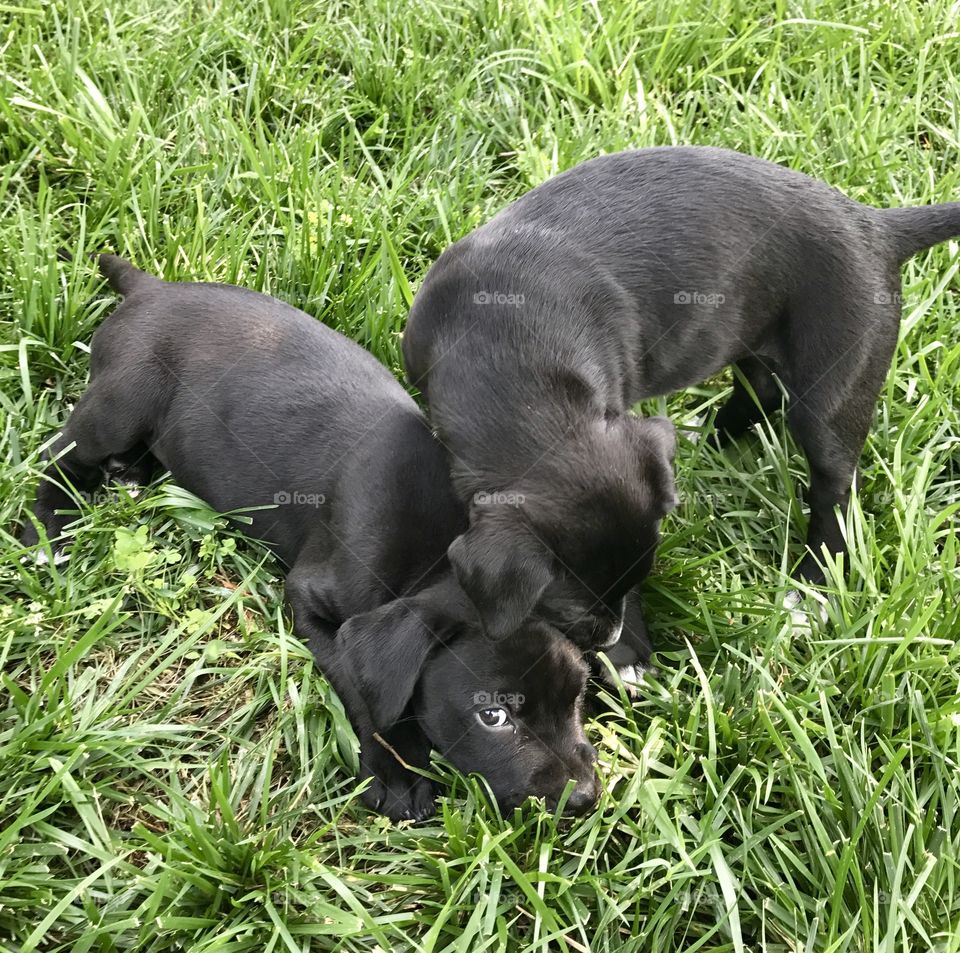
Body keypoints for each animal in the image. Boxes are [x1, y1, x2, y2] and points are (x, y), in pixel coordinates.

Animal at [20, 256, 600, 820]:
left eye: (577, 698)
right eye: (493, 716)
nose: (584, 797)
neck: (434, 560)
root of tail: (151, 287)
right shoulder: (312, 599)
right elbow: (360, 685)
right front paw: (398, 771)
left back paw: (130, 471)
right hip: (121, 402)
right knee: (55, 456)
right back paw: (47, 532)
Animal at [404, 143, 960, 648]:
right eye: (567, 609)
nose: (609, 640)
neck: (506, 347)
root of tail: (877, 227)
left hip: (835, 386)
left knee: (835, 492)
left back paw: (808, 597)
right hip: (751, 337)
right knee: (759, 391)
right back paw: (703, 444)